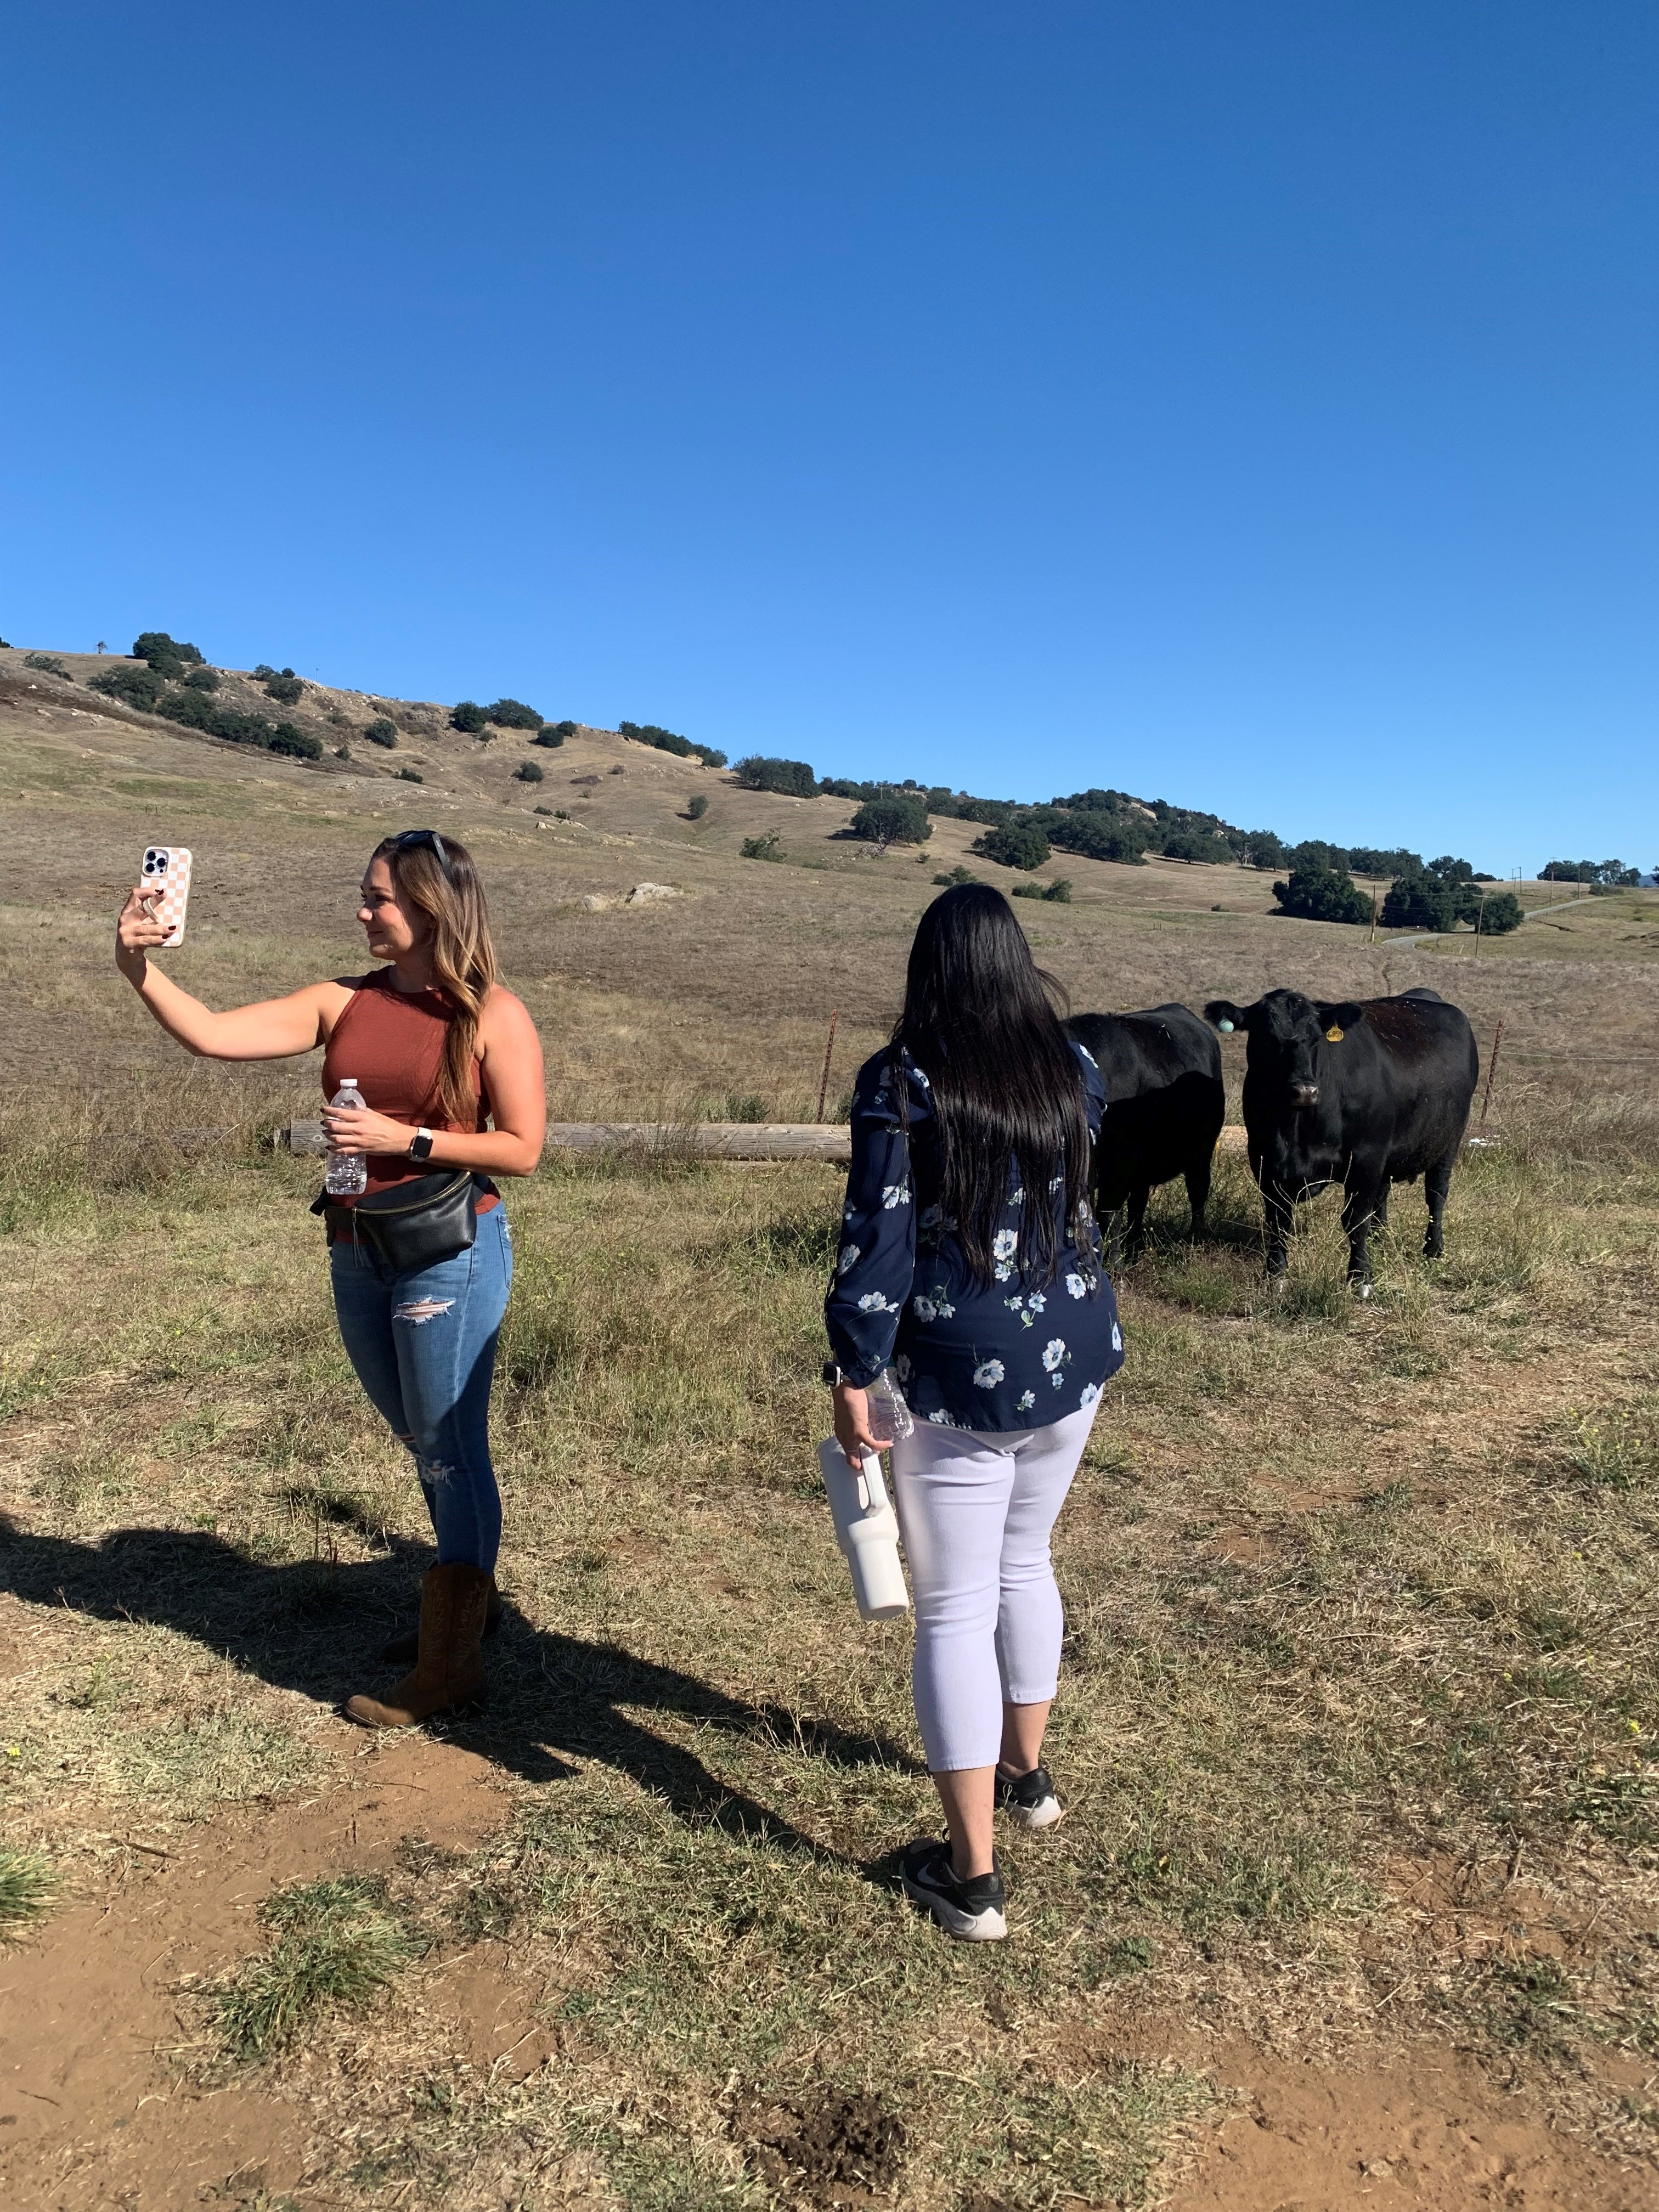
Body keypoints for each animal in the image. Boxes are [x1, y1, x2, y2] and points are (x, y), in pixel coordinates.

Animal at [1070, 1004, 1229, 1265]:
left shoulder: (1118, 1163)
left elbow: (1108, 1214)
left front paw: (1114, 1263)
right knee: (1139, 1204)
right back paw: (1135, 1247)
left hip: (1201, 1152)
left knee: (1198, 1191)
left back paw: (1195, 1239)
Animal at [1203, 982, 1486, 1283]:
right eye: (1266, 1037)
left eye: (1316, 1039)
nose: (1304, 1091)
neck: (1295, 1133)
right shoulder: (1264, 1158)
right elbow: (1278, 1219)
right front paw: (1275, 1273)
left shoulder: (1366, 1157)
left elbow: (1355, 1219)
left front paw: (1360, 1276)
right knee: (1383, 1193)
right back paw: (1380, 1238)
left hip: (1447, 1142)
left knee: (1436, 1194)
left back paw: (1433, 1249)